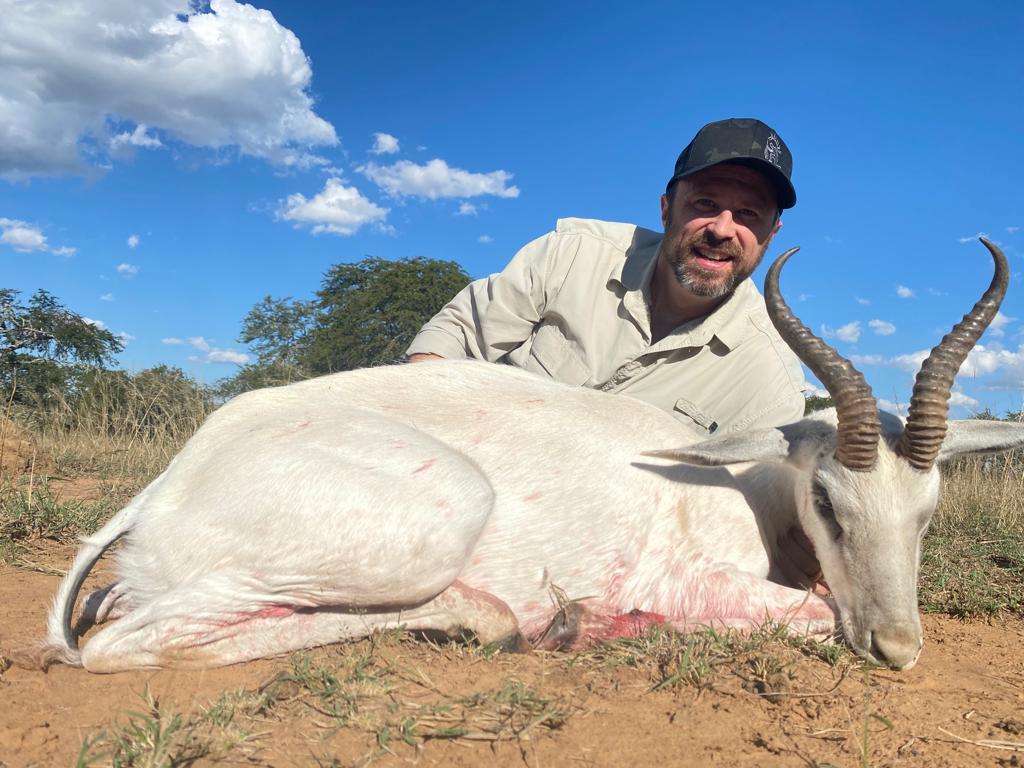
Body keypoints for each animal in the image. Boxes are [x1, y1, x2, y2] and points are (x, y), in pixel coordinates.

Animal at [38, 239, 1024, 673]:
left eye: (927, 512)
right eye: (829, 502)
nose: (898, 648)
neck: (747, 488)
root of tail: (167, 484)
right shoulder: (692, 579)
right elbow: (811, 614)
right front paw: (608, 622)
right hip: (443, 518)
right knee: (127, 643)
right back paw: (527, 621)